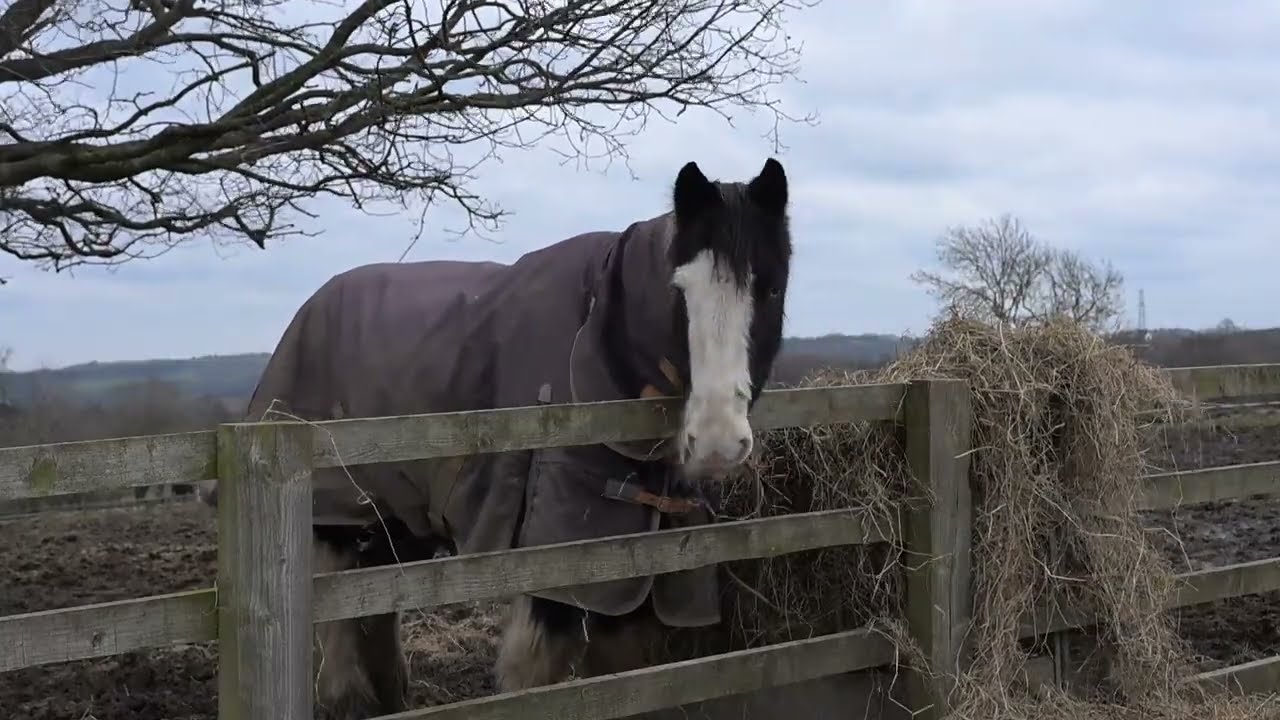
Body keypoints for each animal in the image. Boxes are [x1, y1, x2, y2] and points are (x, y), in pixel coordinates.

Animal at [199, 157, 793, 718]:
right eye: (679, 290)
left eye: (771, 287)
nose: (716, 442)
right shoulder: (556, 565)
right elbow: (532, 683)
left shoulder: (627, 581)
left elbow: (622, 688)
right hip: (336, 517)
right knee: (339, 641)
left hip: (397, 523)